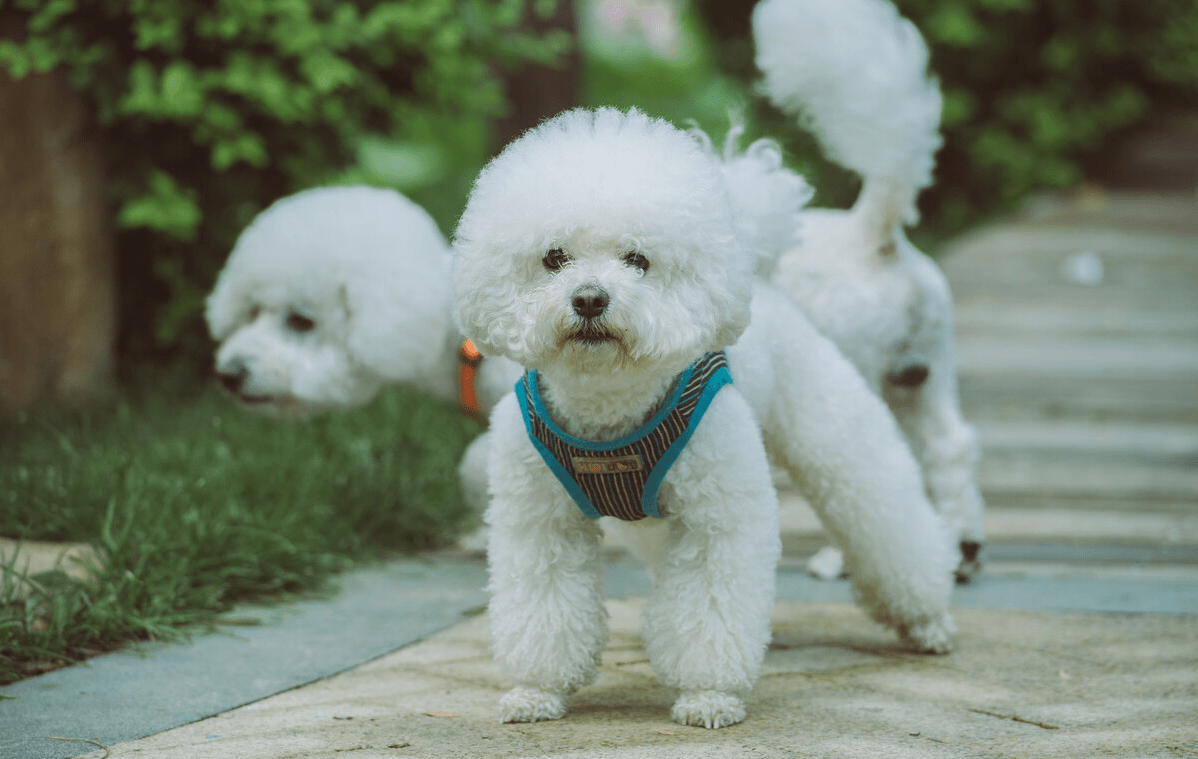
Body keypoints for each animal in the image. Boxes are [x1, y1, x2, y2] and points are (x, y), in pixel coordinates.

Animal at [450, 107, 953, 727]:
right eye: (553, 258)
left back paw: (927, 621)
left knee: (888, 521)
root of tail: (759, 272)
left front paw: (710, 697)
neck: (608, 407)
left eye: (638, 260)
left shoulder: (717, 516)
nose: (589, 299)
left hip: (834, 432)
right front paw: (536, 691)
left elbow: (710, 606)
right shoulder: (540, 522)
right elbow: (543, 606)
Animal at [752, 0, 987, 579]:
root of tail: (873, 234)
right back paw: (961, 549)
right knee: (951, 446)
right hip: (923, 373)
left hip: (854, 366)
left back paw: (839, 559)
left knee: (873, 462)